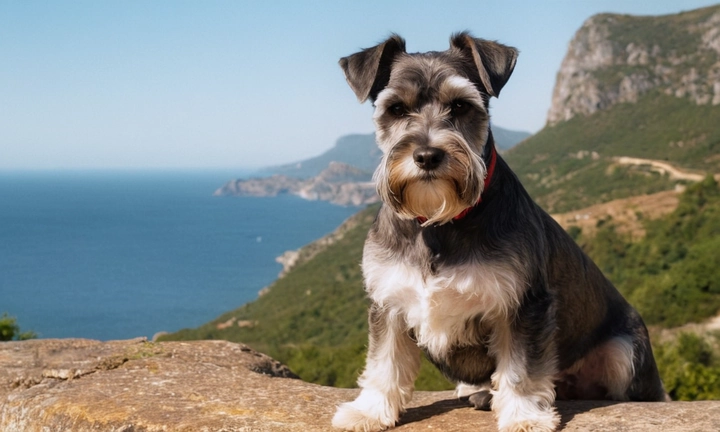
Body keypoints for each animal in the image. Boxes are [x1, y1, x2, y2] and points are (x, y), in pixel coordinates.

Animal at [330, 31, 668, 432]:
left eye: (460, 106)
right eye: (396, 108)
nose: (427, 156)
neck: (438, 223)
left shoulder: (521, 306)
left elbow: (520, 369)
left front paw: (524, 416)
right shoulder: (388, 303)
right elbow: (385, 362)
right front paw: (368, 410)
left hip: (623, 352)